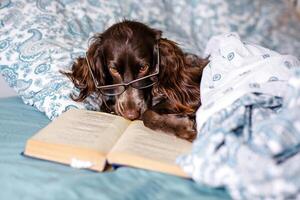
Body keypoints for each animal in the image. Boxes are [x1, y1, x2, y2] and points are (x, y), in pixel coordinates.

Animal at [62, 20, 209, 141]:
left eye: (143, 68)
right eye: (113, 69)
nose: (131, 115)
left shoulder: (192, 94)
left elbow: (147, 114)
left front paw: (183, 128)